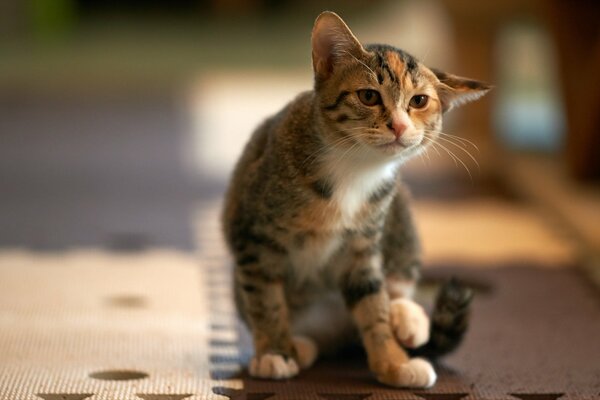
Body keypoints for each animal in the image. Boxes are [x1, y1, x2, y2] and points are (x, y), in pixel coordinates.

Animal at [223, 10, 490, 390]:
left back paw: (408, 320)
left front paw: (394, 363)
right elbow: (264, 299)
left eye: (419, 101)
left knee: (397, 279)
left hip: (400, 208)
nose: (398, 126)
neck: (355, 168)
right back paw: (299, 345)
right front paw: (275, 351)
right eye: (368, 96)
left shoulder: (363, 244)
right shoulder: (252, 232)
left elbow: (372, 302)